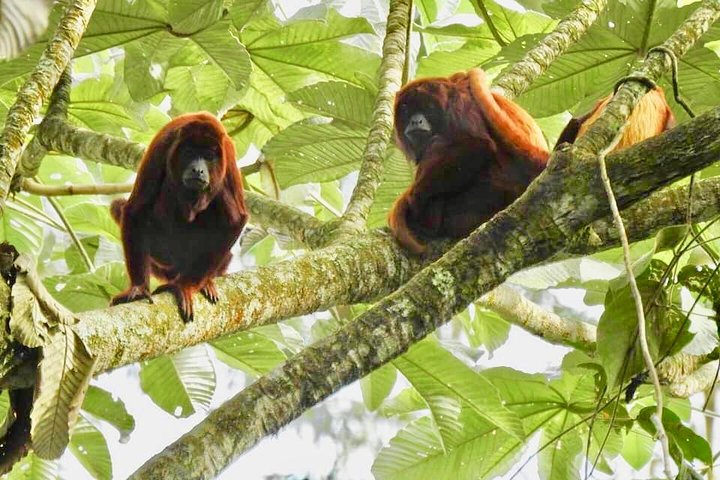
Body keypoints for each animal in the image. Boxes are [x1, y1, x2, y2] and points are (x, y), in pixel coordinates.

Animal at [109, 112, 249, 322]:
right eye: (189, 153)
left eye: (209, 157)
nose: (198, 169)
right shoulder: (162, 146)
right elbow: (136, 210)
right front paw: (139, 288)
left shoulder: (228, 158)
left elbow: (234, 220)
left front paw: (186, 286)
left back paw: (206, 282)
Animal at [388, 69, 552, 255]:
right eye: (407, 109)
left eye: (428, 108)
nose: (416, 121)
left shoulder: (460, 103)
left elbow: (477, 145)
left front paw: (415, 197)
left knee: (437, 144)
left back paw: (429, 224)